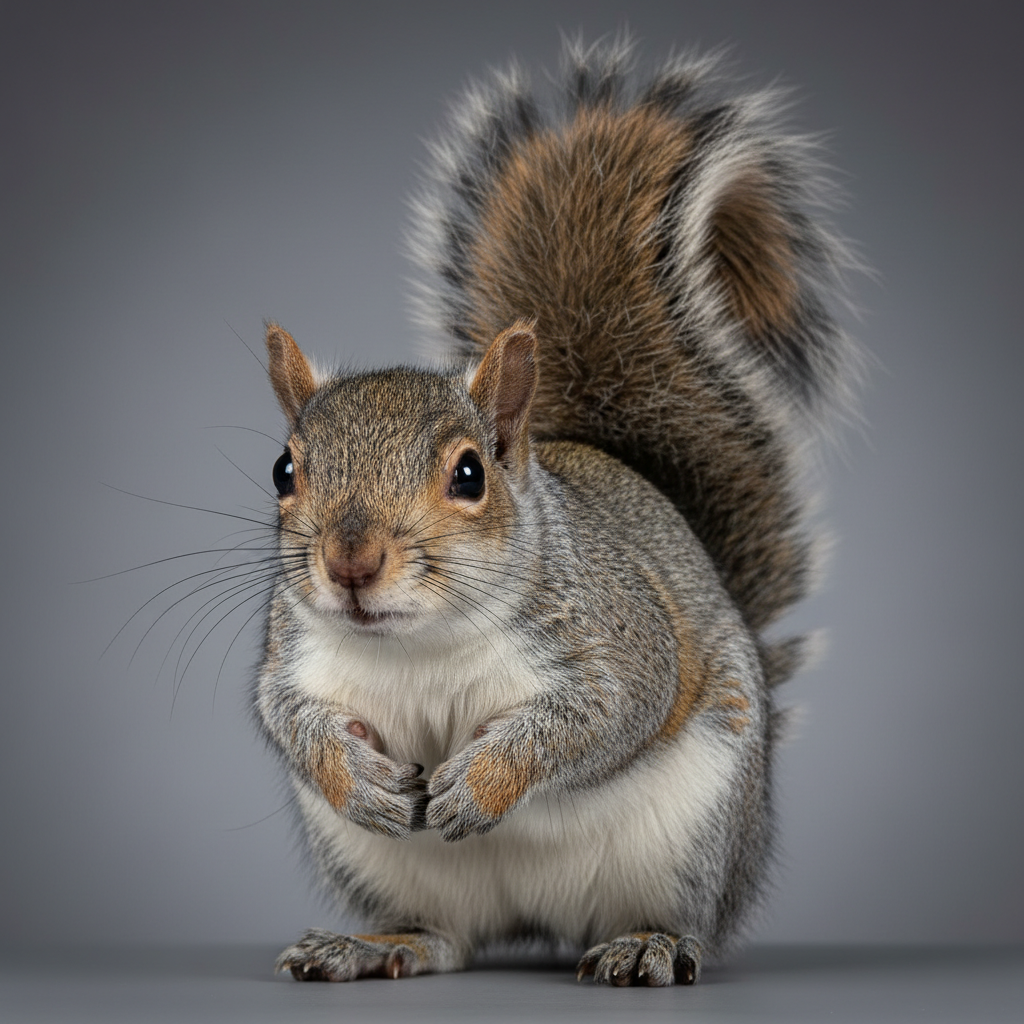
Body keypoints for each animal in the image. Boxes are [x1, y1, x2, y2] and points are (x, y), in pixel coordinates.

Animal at [256, 38, 856, 987]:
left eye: (469, 475)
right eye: (284, 470)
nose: (351, 563)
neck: (416, 641)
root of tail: (537, 920)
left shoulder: (615, 635)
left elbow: (601, 716)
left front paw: (484, 780)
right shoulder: (294, 655)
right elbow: (285, 716)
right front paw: (353, 774)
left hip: (693, 836)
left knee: (675, 916)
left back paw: (650, 944)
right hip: (379, 865)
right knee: (443, 936)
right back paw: (374, 944)